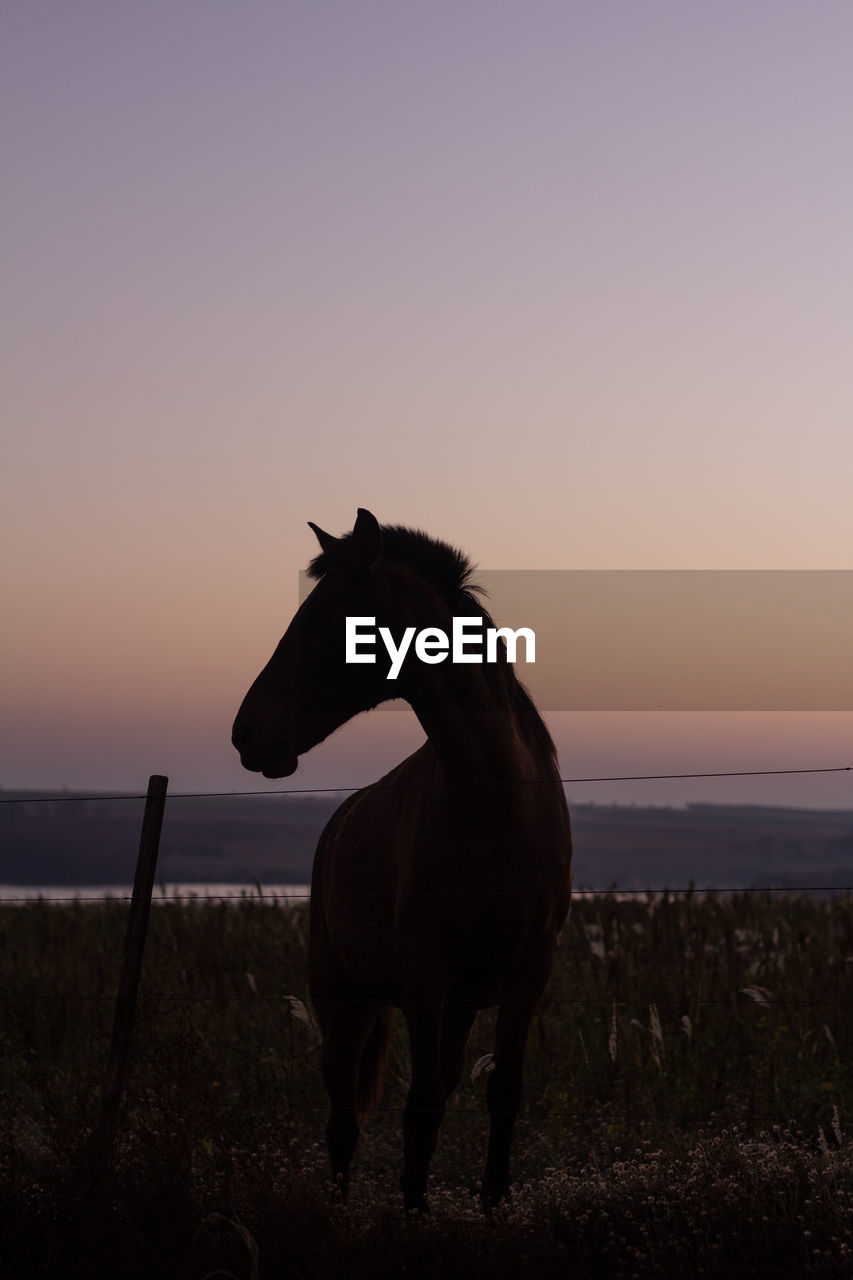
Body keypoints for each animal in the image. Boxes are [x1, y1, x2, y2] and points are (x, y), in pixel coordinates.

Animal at [229, 509, 568, 1208]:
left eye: (324, 616)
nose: (246, 734)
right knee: (341, 1121)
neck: (497, 808)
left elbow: (502, 1095)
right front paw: (411, 1214)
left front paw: (493, 1207)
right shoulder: (424, 976)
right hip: (345, 1001)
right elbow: (421, 1111)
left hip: (456, 1005)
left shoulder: (528, 973)